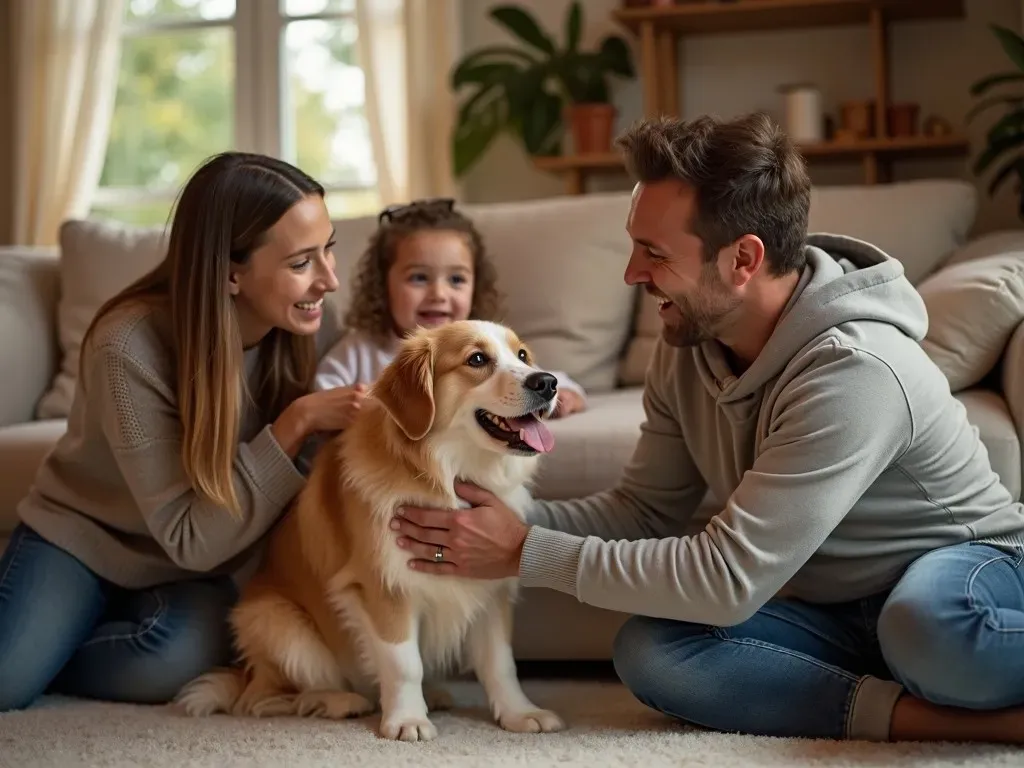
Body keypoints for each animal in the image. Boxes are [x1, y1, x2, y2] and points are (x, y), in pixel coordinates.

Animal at [173, 317, 565, 741]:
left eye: (522, 355)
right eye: (477, 359)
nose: (548, 382)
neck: (446, 473)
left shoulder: (489, 586)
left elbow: (500, 664)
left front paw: (519, 713)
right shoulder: (383, 585)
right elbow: (404, 663)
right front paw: (407, 719)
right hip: (279, 627)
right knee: (263, 699)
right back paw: (338, 701)